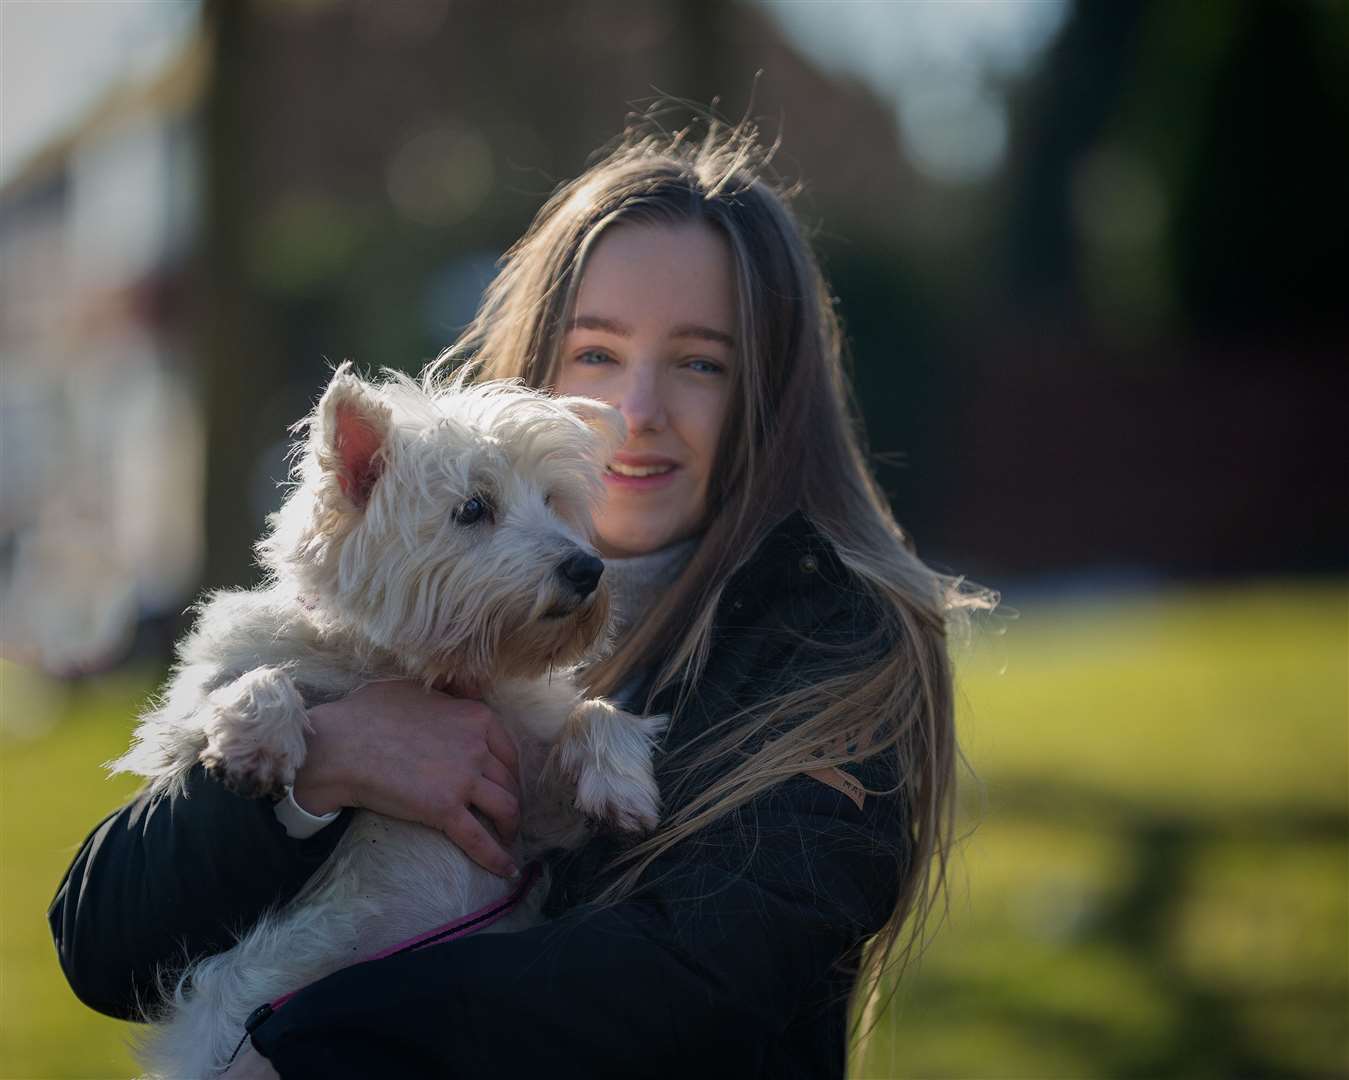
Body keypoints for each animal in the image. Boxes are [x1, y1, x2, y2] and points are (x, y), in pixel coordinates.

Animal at [111, 366, 663, 1073]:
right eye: (473, 508)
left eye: (552, 501)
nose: (587, 568)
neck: (414, 670)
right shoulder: (178, 731)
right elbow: (250, 682)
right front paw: (258, 739)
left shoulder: (528, 814)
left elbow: (593, 714)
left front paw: (621, 787)